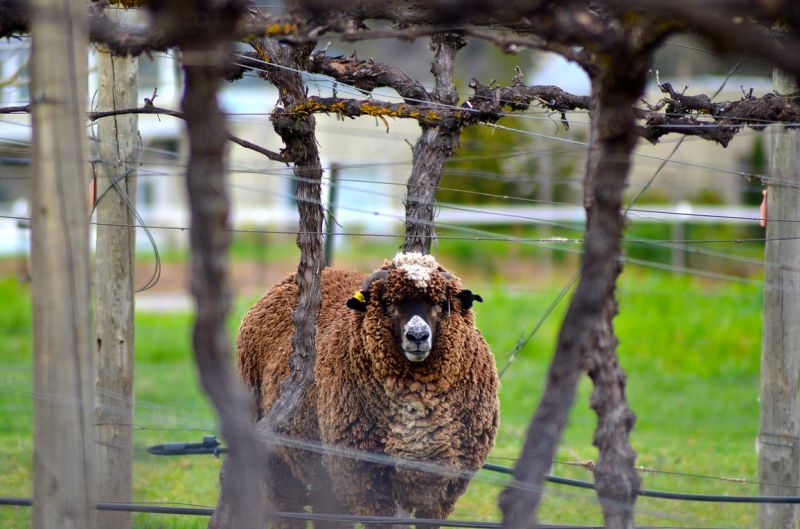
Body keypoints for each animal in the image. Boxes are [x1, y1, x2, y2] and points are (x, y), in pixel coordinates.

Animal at [238, 252, 500, 524]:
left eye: (441, 302)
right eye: (389, 302)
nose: (417, 337)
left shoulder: (441, 487)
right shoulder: (366, 480)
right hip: (277, 456)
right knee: (288, 510)